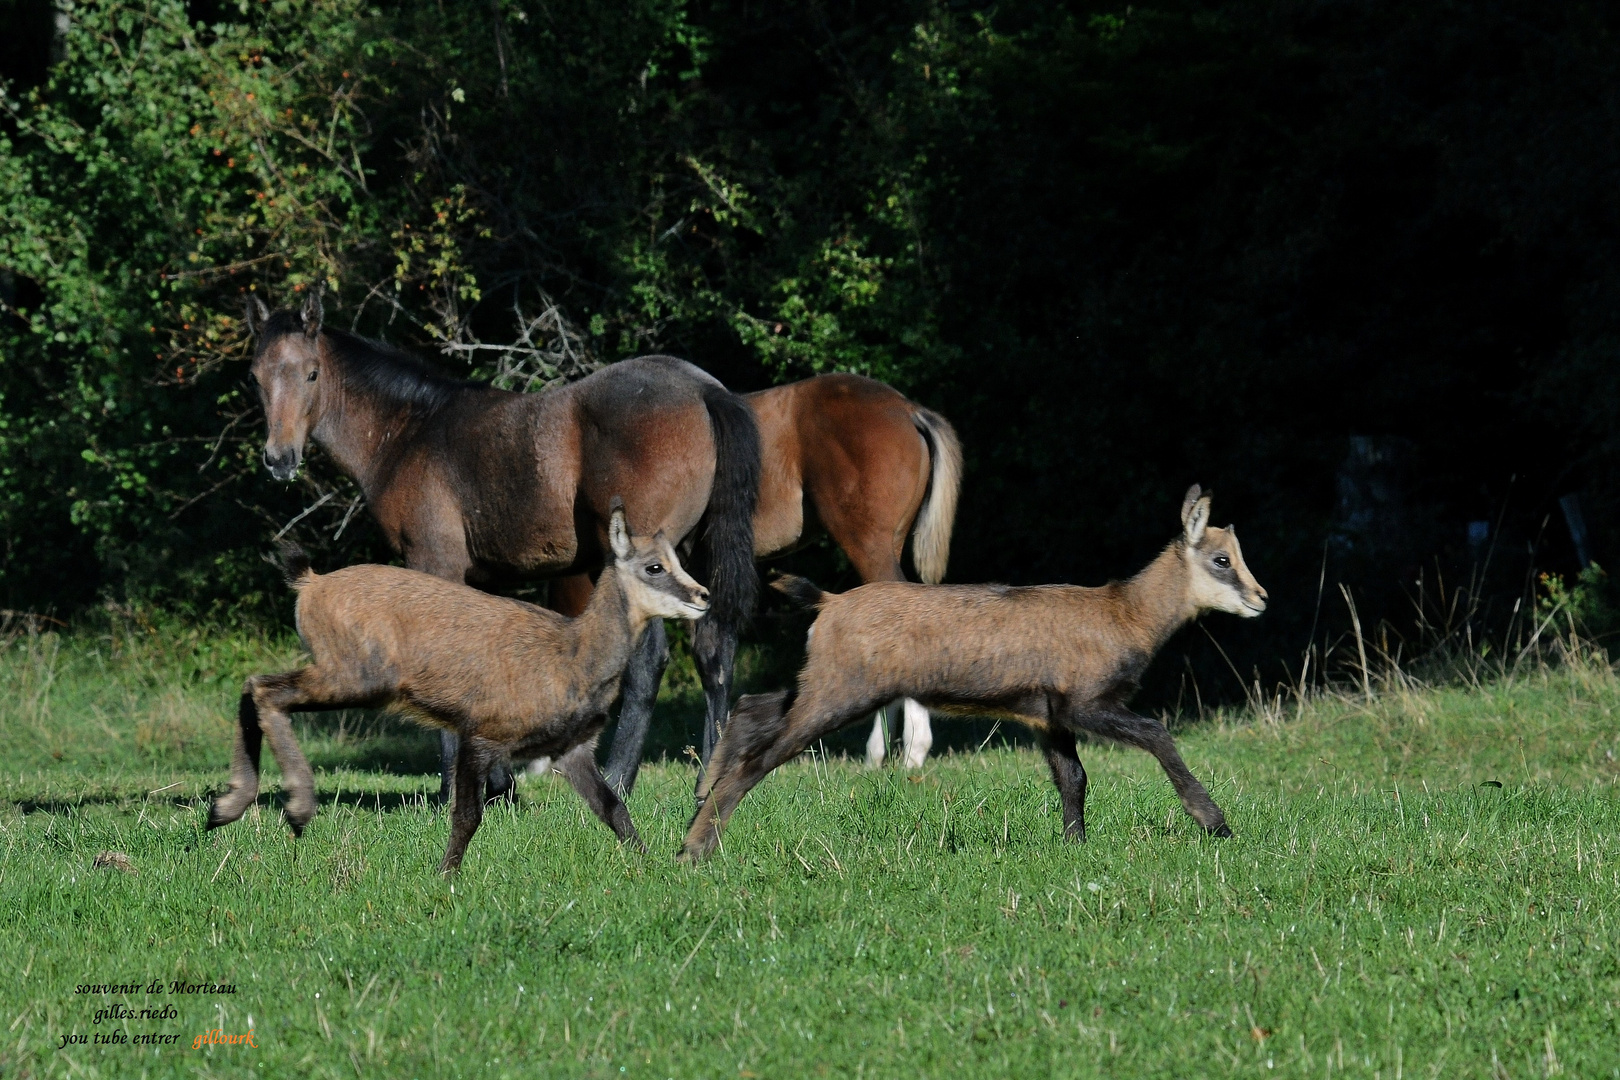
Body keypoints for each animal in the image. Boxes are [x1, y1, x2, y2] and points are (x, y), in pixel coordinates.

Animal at [247, 291, 764, 799]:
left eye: (311, 373)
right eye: (256, 377)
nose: (278, 459)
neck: (409, 433)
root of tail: (704, 389)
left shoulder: (433, 561)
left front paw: (452, 789)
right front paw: (499, 785)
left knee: (648, 663)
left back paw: (618, 779)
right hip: (694, 561)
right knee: (715, 653)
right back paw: (709, 782)